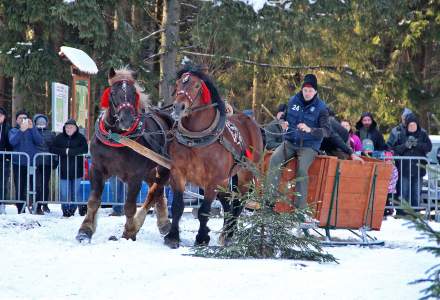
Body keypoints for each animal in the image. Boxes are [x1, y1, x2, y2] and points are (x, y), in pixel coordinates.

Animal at [75, 67, 172, 241]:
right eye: (113, 92)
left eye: (134, 92)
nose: (126, 120)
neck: (118, 137)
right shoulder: (97, 169)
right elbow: (93, 201)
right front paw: (85, 230)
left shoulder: (135, 176)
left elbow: (129, 206)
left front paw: (129, 232)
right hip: (150, 171)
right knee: (158, 191)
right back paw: (164, 224)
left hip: (163, 168)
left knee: (153, 193)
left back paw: (143, 224)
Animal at [163, 69, 262, 248]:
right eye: (178, 83)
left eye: (196, 85)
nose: (178, 107)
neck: (196, 141)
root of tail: (251, 122)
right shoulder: (177, 173)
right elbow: (177, 207)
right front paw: (173, 236)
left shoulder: (213, 180)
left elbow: (204, 210)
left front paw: (202, 238)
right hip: (225, 180)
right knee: (227, 200)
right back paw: (226, 231)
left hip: (245, 174)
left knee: (239, 201)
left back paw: (229, 234)